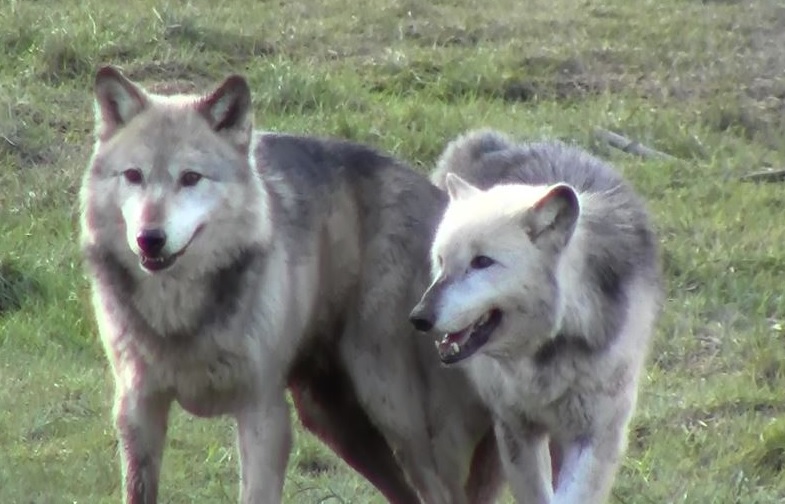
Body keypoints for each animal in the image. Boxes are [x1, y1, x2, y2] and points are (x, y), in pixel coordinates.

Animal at [79, 67, 503, 504]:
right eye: (134, 176)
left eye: (190, 178)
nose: (150, 238)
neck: (179, 316)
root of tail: (447, 205)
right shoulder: (137, 411)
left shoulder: (264, 415)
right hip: (333, 422)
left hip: (394, 412)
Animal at [409, 130, 662, 503]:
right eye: (442, 261)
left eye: (482, 262)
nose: (419, 318)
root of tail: (498, 142)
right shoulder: (516, 429)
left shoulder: (599, 436)